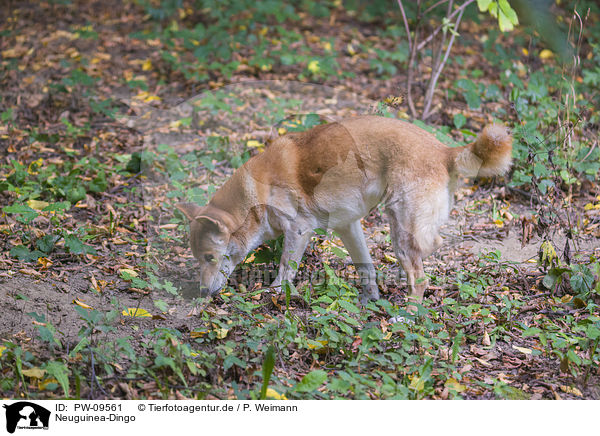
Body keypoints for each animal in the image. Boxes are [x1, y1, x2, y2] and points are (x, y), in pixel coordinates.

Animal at [175, 116, 510, 312]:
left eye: (210, 257)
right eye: (198, 258)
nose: (201, 293)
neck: (256, 193)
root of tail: (443, 151)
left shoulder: (298, 231)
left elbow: (284, 272)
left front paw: (271, 297)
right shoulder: (348, 226)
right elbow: (366, 267)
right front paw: (370, 298)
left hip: (400, 228)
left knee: (422, 273)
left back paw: (406, 317)